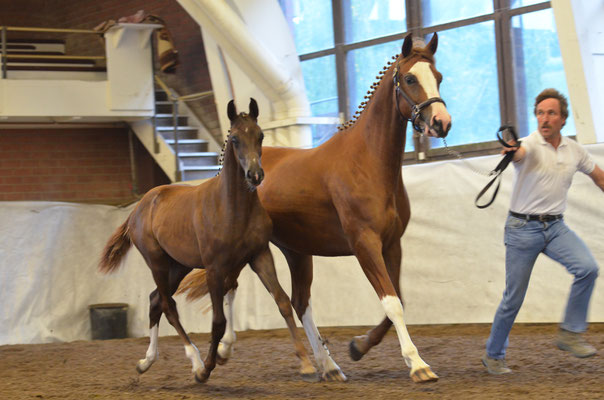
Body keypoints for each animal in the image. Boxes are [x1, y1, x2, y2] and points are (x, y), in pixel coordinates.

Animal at [97, 98, 318, 382]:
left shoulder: (259, 256)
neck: (232, 208)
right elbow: (218, 320)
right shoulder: (215, 268)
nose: (255, 175)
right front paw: (207, 368)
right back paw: (195, 361)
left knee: (155, 300)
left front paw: (306, 363)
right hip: (156, 261)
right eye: (234, 139)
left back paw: (146, 361)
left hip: (179, 265)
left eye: (260, 135)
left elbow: (282, 301)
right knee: (168, 304)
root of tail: (139, 207)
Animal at [177, 33, 450, 382]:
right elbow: (391, 302)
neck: (368, 162)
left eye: (438, 77)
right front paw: (417, 364)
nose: (441, 123)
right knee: (234, 288)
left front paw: (359, 346)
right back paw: (225, 350)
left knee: (298, 301)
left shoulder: (392, 244)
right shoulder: (365, 244)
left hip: (295, 251)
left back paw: (328, 366)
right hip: (249, 249)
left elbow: (397, 300)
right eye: (410, 78)